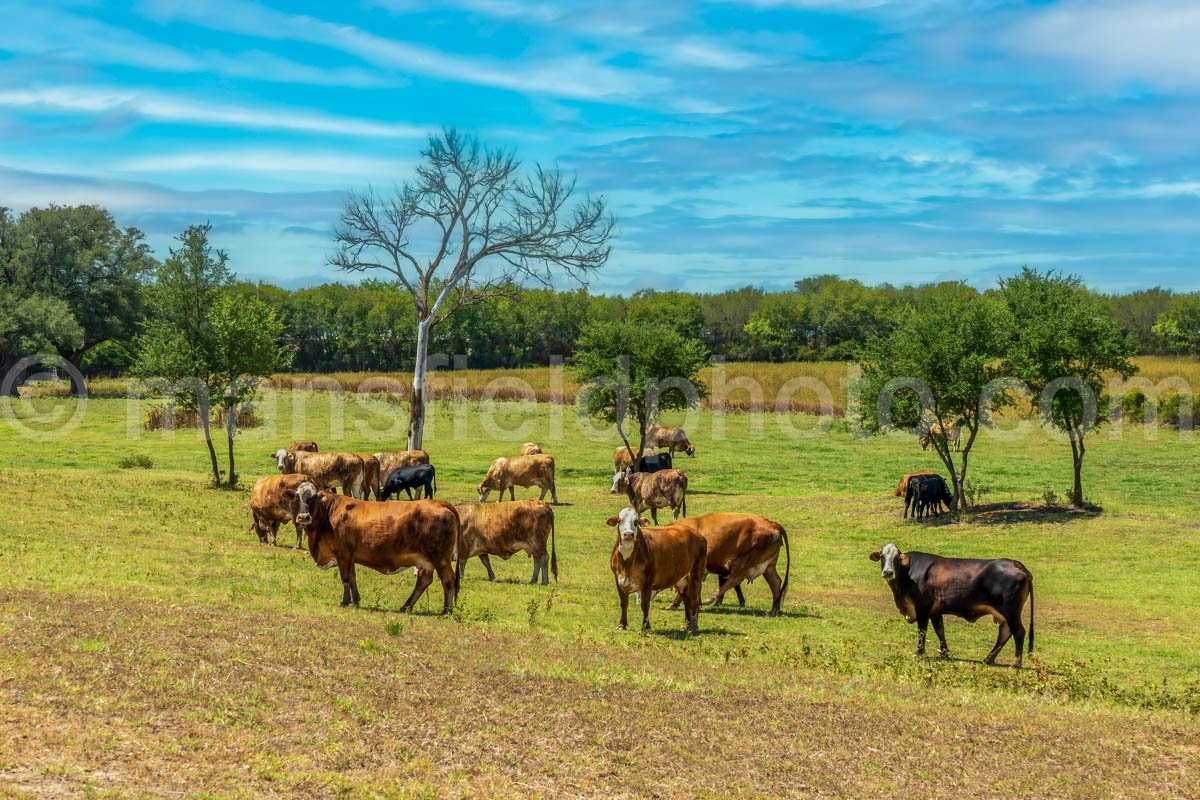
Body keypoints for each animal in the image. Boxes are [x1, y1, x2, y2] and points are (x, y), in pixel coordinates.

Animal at [290, 482, 458, 614]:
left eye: (312, 497)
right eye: (297, 497)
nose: (303, 517)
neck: (329, 512)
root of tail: (440, 503)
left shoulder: (343, 554)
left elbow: (345, 578)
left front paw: (345, 601)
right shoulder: (350, 556)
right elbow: (352, 577)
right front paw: (356, 600)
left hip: (440, 558)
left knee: (448, 579)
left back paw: (446, 611)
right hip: (425, 561)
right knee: (424, 580)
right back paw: (406, 606)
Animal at [868, 544, 1036, 671]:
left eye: (897, 558)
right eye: (882, 556)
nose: (888, 572)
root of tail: (1016, 564)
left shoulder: (922, 608)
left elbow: (922, 631)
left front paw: (919, 652)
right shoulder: (935, 612)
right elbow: (940, 631)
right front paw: (945, 653)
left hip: (1011, 611)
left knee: (1018, 632)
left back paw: (1015, 663)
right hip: (1003, 614)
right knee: (1005, 632)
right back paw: (988, 659)